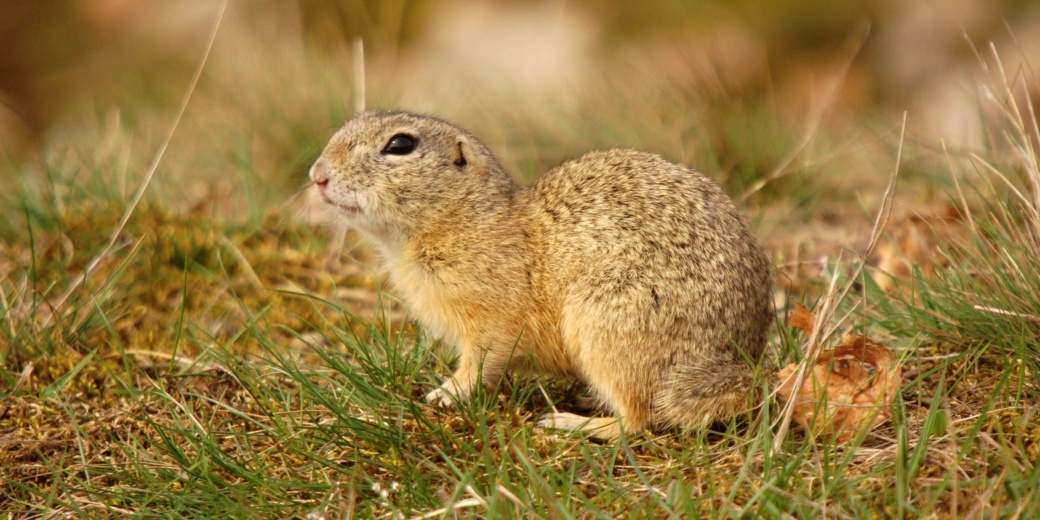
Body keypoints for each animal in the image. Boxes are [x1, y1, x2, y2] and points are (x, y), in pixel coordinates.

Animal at [312, 110, 777, 438]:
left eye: (400, 144)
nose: (317, 176)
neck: (459, 217)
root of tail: (733, 368)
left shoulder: (492, 320)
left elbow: (480, 362)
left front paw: (444, 394)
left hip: (609, 331)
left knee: (639, 419)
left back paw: (569, 423)